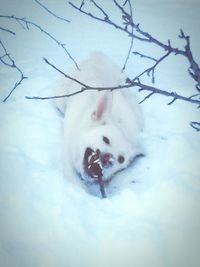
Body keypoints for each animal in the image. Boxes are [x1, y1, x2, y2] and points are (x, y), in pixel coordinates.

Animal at [56, 52, 144, 195]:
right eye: (105, 139)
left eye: (121, 159)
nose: (108, 159)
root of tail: (97, 55)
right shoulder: (68, 158)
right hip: (61, 98)